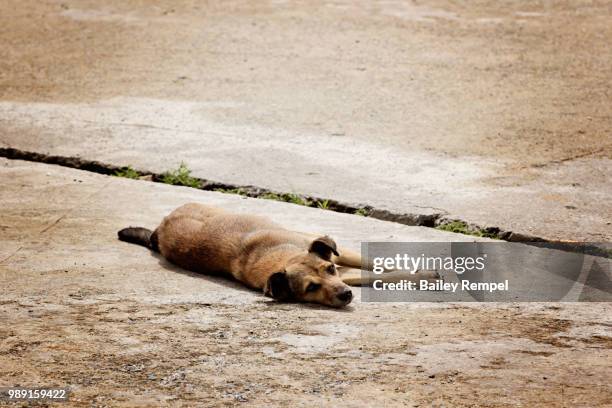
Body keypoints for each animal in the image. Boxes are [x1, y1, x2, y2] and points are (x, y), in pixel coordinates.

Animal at [118, 202, 436, 308]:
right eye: (311, 288)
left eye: (329, 270)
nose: (345, 295)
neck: (285, 258)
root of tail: (160, 229)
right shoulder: (348, 275)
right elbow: (377, 275)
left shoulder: (339, 258)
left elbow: (377, 264)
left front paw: (426, 272)